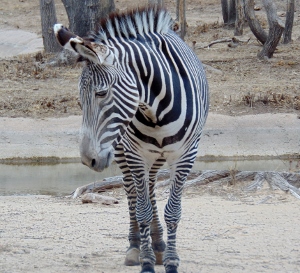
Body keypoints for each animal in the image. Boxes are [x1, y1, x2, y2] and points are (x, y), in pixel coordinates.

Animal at [54, 6, 209, 272]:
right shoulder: (135, 154)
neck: (155, 110)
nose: (87, 160)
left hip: (156, 155)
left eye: (101, 93)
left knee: (150, 184)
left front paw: (171, 260)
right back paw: (136, 247)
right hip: (123, 150)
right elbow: (141, 209)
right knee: (132, 193)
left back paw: (159, 245)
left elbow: (173, 211)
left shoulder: (185, 155)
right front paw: (146, 262)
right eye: (79, 100)